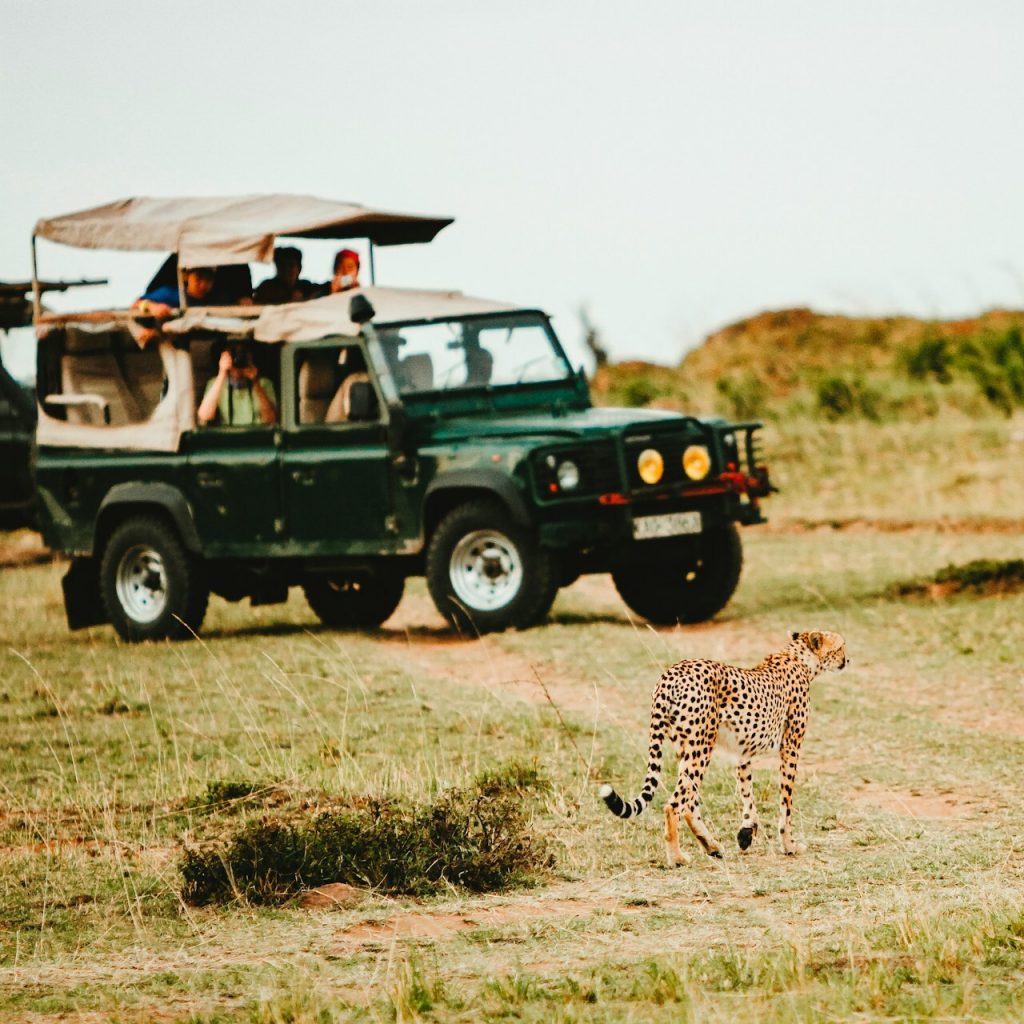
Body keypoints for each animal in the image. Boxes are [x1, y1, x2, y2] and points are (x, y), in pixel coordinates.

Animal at [600, 630, 847, 865]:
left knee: (689, 802)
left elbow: (747, 791)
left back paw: (711, 847)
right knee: (674, 804)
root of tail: (671, 674)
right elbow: (786, 802)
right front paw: (789, 846)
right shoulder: (791, 747)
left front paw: (746, 832)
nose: (847, 659)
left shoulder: (743, 752)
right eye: (841, 646)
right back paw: (677, 858)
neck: (799, 657)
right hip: (701, 746)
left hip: (686, 747)